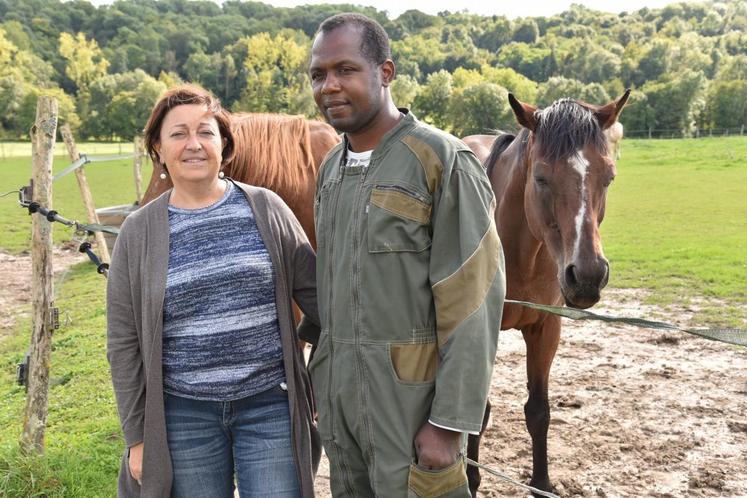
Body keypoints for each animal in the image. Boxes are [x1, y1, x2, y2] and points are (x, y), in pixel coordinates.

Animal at [464, 90, 628, 494]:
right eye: (540, 177)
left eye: (608, 177)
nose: (587, 275)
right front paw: (470, 480)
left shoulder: (545, 330)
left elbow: (539, 411)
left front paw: (541, 482)